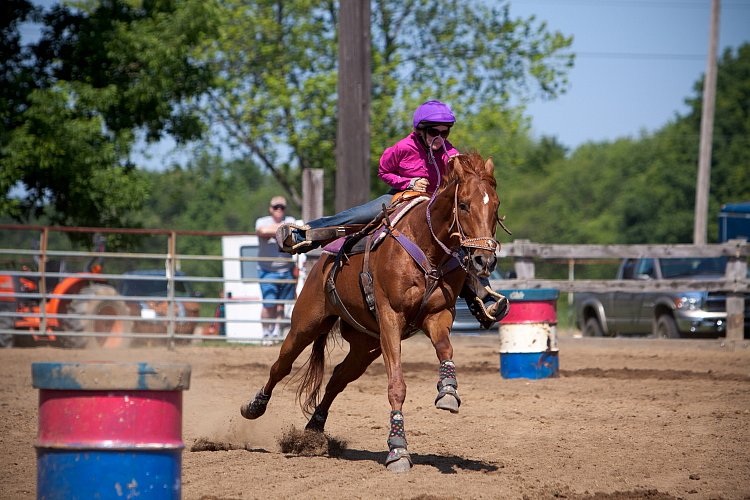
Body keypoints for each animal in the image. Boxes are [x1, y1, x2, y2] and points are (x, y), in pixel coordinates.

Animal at [242, 152, 500, 472]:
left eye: (496, 206)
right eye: (463, 204)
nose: (484, 260)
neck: (427, 247)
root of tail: (321, 263)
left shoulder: (438, 315)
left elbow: (445, 348)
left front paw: (448, 391)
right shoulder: (390, 317)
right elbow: (396, 385)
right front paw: (398, 449)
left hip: (366, 345)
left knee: (338, 378)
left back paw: (314, 428)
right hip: (306, 323)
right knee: (282, 365)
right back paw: (254, 406)